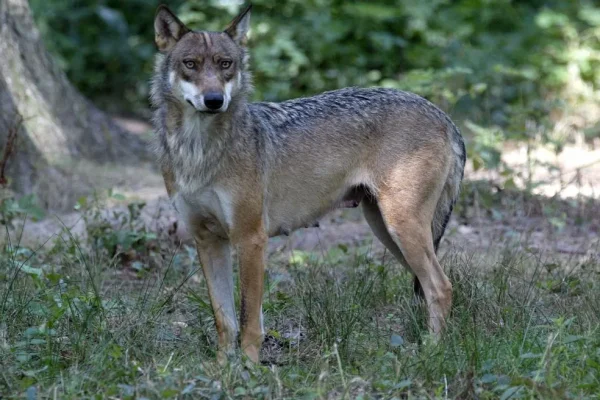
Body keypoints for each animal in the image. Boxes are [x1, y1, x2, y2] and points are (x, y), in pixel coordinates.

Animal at [150, 3, 464, 366]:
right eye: (191, 64)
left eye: (225, 64)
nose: (214, 100)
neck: (198, 150)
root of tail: (444, 116)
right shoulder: (208, 240)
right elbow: (224, 319)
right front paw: (221, 368)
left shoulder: (250, 239)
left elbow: (249, 320)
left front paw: (249, 368)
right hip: (389, 233)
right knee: (429, 288)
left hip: (402, 229)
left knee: (442, 287)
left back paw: (432, 352)